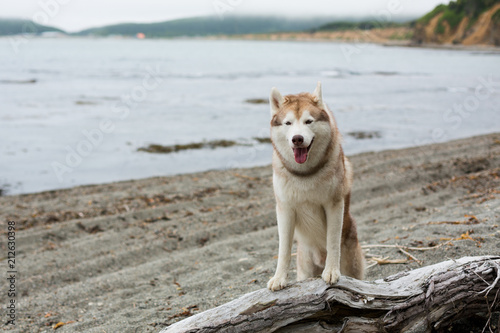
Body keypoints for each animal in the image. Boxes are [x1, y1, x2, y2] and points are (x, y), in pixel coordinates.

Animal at [268, 81, 366, 290]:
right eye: (288, 123)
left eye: (308, 121)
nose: (297, 138)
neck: (305, 174)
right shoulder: (285, 209)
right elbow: (283, 249)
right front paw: (279, 278)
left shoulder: (334, 205)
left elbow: (332, 241)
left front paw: (331, 270)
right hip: (305, 268)